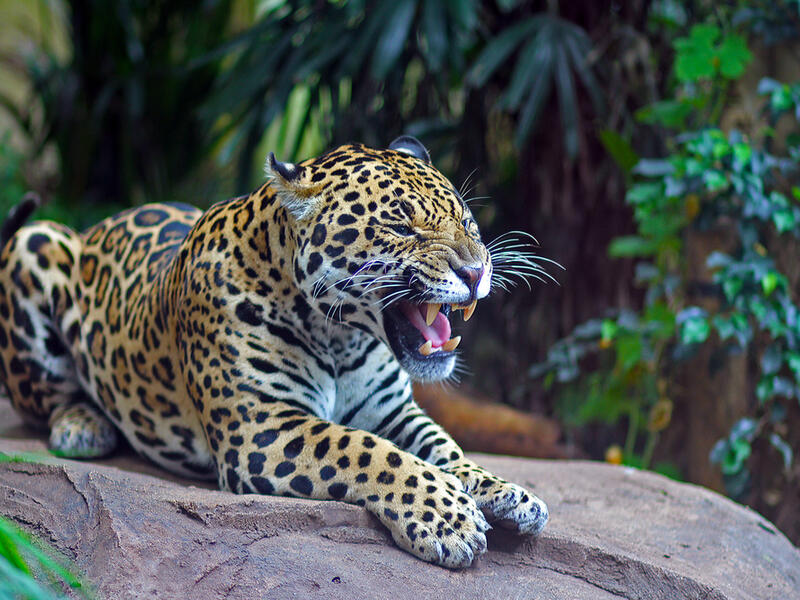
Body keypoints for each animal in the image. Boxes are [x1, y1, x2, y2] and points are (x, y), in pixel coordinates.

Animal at [0, 136, 549, 568]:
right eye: (401, 228)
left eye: (467, 220)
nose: (477, 271)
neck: (341, 338)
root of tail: (92, 229)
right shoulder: (259, 424)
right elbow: (367, 449)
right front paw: (447, 519)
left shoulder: (392, 411)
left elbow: (445, 449)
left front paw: (505, 492)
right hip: (35, 241)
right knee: (44, 398)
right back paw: (82, 426)